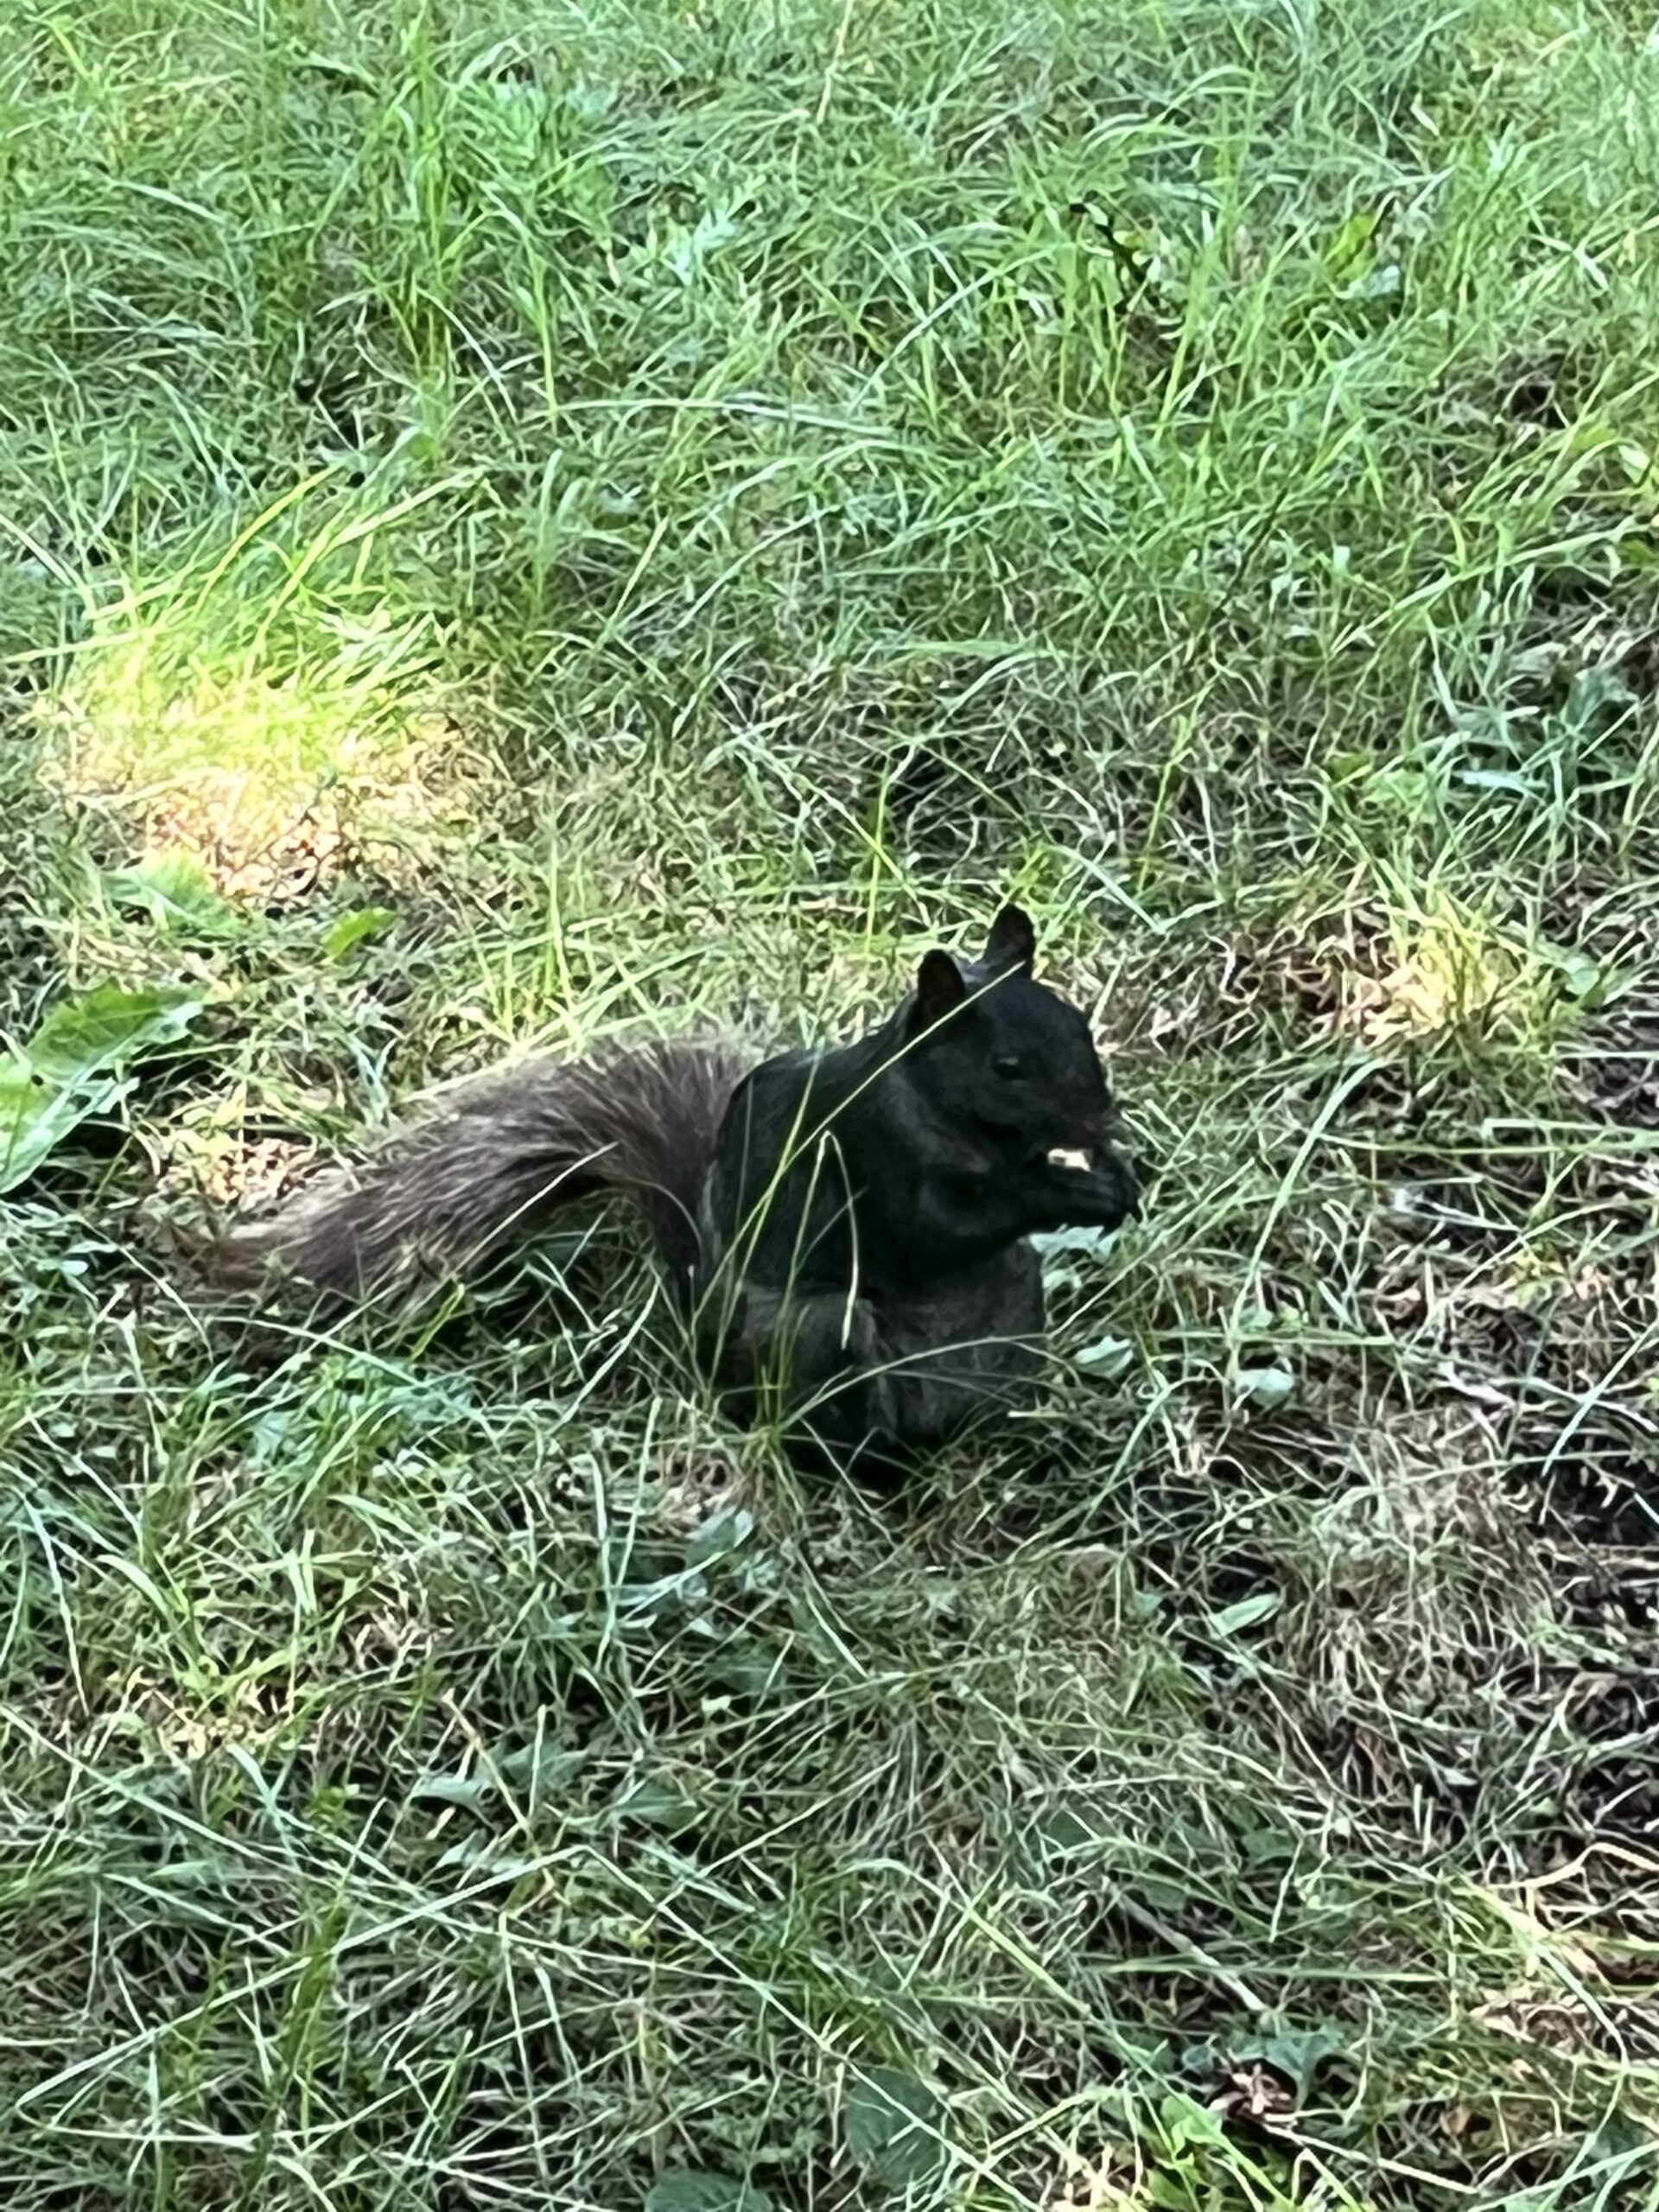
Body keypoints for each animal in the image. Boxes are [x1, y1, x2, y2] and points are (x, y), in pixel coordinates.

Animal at [214, 906, 1141, 1478]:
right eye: (1007, 1066)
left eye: (1080, 1025)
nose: (1102, 1116)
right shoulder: (870, 1146)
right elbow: (931, 1229)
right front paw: (1064, 1192)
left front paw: (1118, 1177)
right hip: (818, 1334)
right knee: (832, 1427)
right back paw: (862, 1464)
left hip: (1009, 1309)